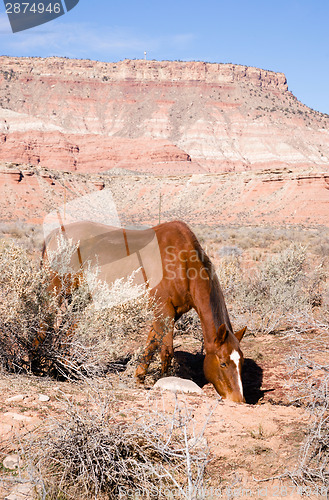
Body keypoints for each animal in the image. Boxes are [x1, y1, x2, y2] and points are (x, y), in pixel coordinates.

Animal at [42, 219, 245, 402]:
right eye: (223, 363)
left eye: (241, 362)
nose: (238, 399)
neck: (183, 261)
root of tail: (53, 234)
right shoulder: (164, 310)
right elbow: (166, 351)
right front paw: (164, 380)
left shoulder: (171, 313)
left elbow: (151, 344)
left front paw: (139, 378)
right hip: (55, 291)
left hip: (79, 299)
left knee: (68, 329)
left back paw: (63, 367)